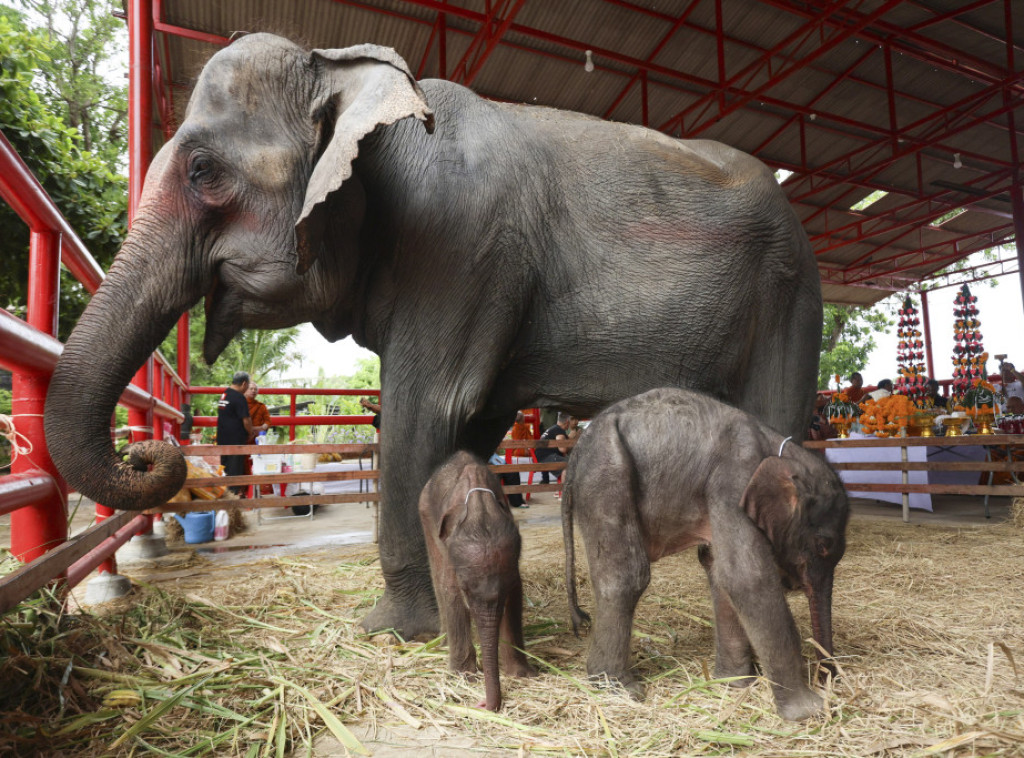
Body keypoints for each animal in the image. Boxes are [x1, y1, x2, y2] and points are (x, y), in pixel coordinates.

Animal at [44, 35, 823, 639]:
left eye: (204, 171)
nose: (151, 451)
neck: (348, 75)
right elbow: (466, 430)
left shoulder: (459, 249)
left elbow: (426, 411)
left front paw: (392, 631)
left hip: (790, 290)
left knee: (776, 420)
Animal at [415, 450, 536, 708]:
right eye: (466, 590)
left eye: (506, 587)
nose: (481, 704)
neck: (480, 505)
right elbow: (450, 589)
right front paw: (464, 676)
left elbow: (516, 596)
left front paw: (523, 675)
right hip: (425, 514)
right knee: (437, 577)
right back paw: (444, 643)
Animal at [561, 387, 847, 721]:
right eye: (823, 544)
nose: (829, 678)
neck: (781, 450)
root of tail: (576, 454)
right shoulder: (733, 481)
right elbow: (747, 578)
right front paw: (810, 712)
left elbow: (719, 573)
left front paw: (734, 684)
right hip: (607, 477)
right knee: (626, 577)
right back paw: (619, 690)